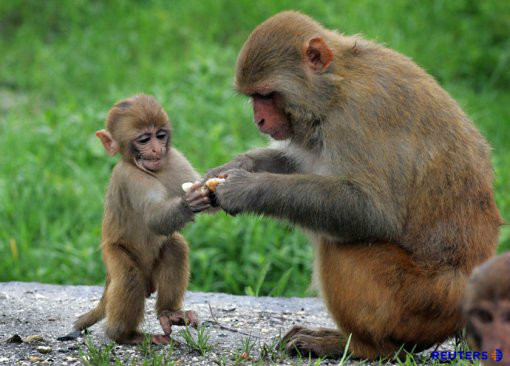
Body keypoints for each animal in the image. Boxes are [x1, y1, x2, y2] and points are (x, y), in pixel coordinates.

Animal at [72, 93, 210, 344]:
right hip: (113, 255)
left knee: (175, 247)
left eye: (160, 135)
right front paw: (190, 202)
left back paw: (169, 312)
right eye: (145, 139)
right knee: (129, 277)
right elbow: (155, 219)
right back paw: (124, 335)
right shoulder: (131, 178)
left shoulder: (174, 157)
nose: (156, 149)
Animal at [204, 10, 502, 358]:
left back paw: (357, 346)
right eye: (254, 97)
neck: (336, 86)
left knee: (339, 246)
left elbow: (371, 211)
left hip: (416, 302)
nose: (259, 120)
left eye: (266, 95)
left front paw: (246, 189)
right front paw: (235, 168)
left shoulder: (360, 115)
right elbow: (301, 163)